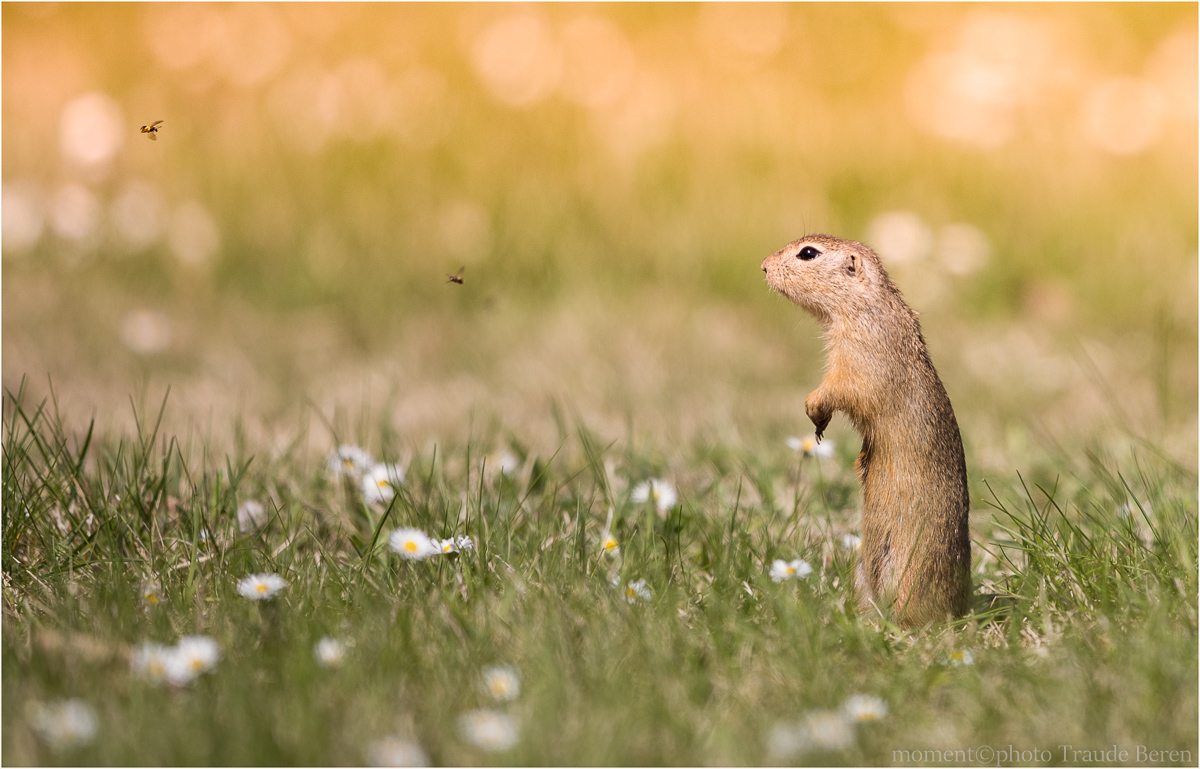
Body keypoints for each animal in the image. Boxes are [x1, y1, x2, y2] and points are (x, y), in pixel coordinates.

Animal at [763, 232, 969, 623]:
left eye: (808, 253)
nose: (763, 266)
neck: (865, 303)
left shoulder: (860, 355)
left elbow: (846, 387)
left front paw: (814, 407)